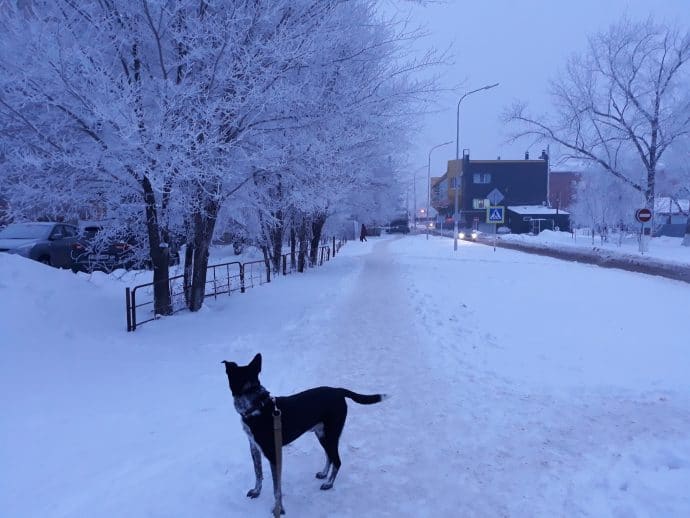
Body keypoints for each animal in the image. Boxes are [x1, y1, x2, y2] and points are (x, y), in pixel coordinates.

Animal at [222, 354, 388, 516]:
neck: (256, 405)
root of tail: (338, 391)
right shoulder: (254, 448)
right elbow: (258, 473)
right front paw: (257, 491)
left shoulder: (273, 454)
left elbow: (277, 489)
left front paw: (278, 509)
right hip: (322, 435)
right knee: (329, 456)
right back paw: (323, 474)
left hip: (331, 435)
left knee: (337, 461)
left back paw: (328, 483)